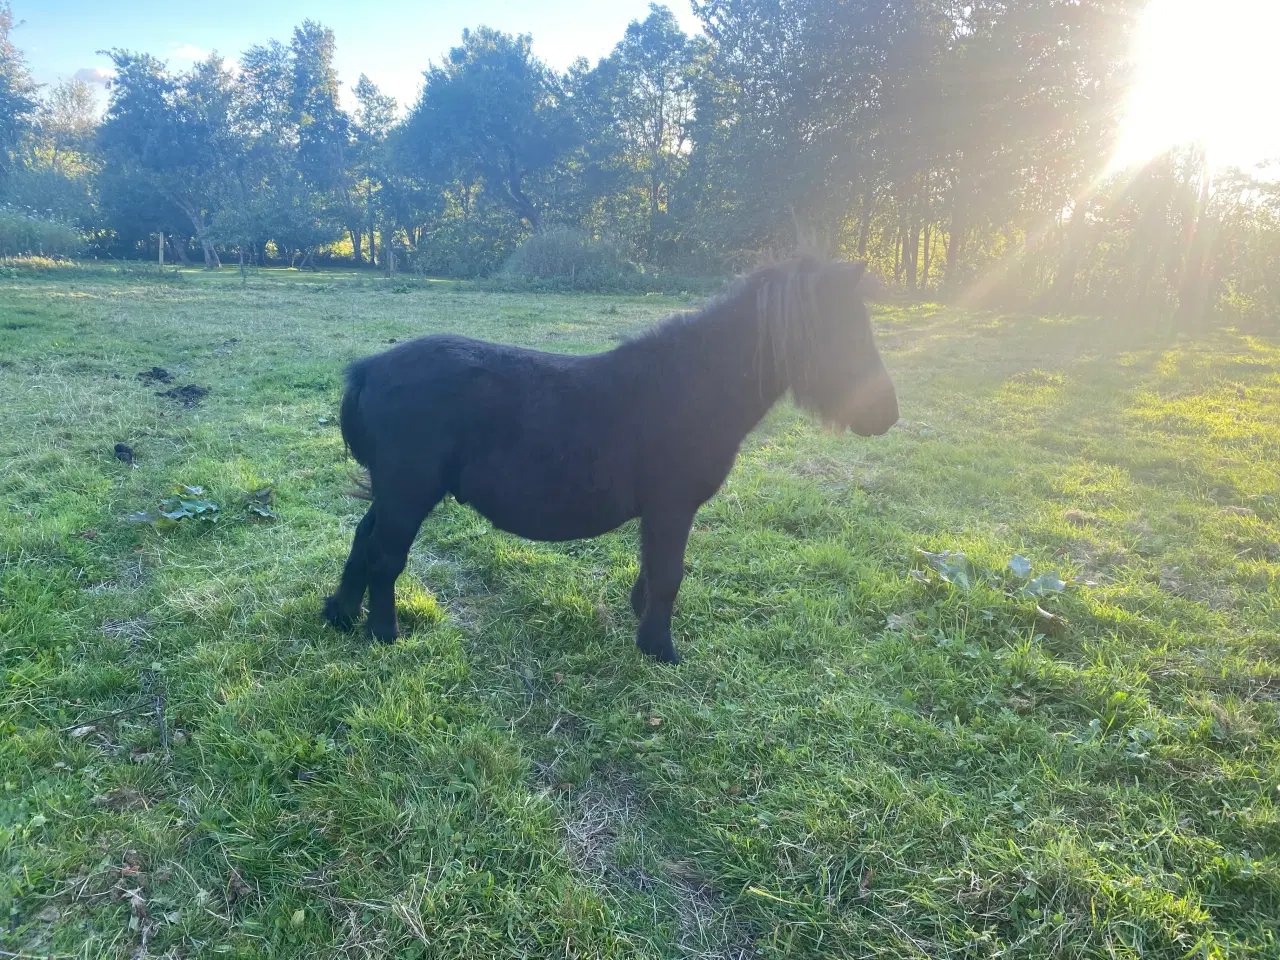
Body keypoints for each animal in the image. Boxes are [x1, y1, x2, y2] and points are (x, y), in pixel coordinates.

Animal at [325, 257, 896, 660]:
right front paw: (659, 649)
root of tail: (368, 369)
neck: (694, 388)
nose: (888, 414)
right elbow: (669, 574)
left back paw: (340, 615)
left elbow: (655, 568)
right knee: (385, 556)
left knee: (363, 540)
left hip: (394, 492)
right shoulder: (672, 507)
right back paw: (383, 632)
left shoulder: (662, 513)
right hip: (409, 493)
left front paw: (643, 620)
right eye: (845, 334)